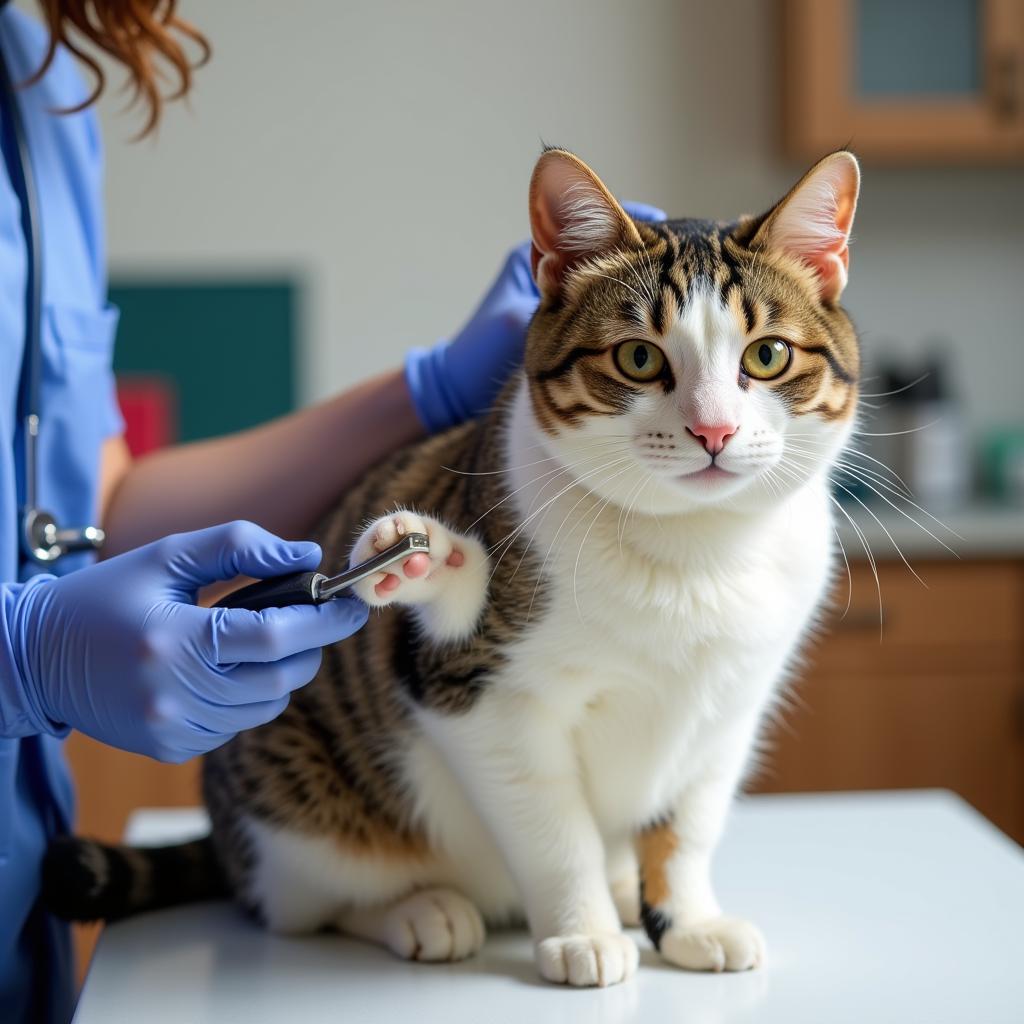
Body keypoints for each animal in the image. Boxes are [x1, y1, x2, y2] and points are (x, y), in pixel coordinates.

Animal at [49, 148, 864, 987]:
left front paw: (688, 919)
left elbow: (688, 828)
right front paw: (582, 931)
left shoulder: (730, 707)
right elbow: (555, 831)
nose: (714, 430)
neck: (690, 549)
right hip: (294, 800)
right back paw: (421, 909)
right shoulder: (479, 699)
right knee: (302, 901)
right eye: (639, 357)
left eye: (766, 355)